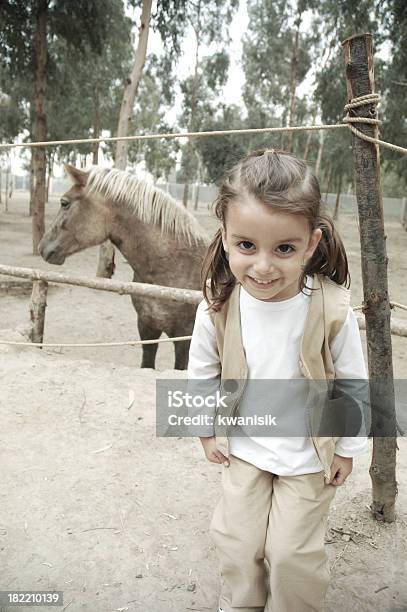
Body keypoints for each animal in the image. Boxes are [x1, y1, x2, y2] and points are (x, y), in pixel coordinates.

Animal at [39, 163, 210, 370]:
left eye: (64, 203)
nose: (42, 247)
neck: (175, 266)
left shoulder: (185, 338)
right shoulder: (147, 328)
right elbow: (147, 364)